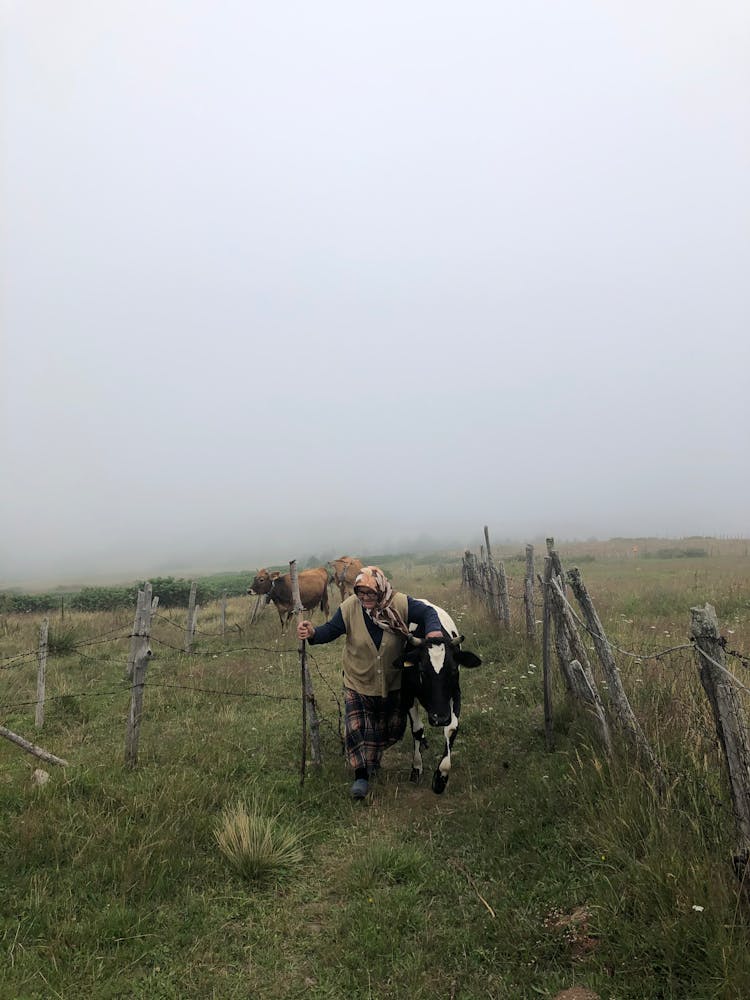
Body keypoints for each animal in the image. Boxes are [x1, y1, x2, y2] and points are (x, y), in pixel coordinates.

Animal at [394, 600, 482, 796]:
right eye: (421, 671)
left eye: (453, 670)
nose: (439, 718)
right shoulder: (408, 694)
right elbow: (417, 729)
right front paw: (417, 768)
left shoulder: (455, 693)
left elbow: (452, 728)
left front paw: (441, 777)